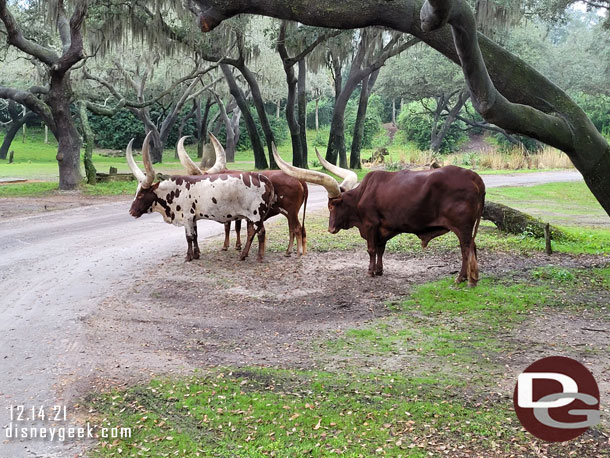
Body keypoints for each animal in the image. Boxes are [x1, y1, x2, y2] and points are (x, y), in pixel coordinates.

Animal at [127, 132, 274, 262]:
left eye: (141, 194)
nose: (131, 212)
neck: (174, 190)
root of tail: (263, 178)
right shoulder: (193, 218)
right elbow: (195, 235)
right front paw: (197, 254)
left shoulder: (187, 217)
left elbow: (189, 237)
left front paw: (188, 257)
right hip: (251, 217)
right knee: (252, 233)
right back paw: (243, 255)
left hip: (256, 216)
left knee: (260, 233)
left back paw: (259, 257)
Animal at [274, 147, 482, 284]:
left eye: (332, 206)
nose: (330, 229)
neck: (362, 195)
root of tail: (475, 178)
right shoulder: (383, 228)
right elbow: (381, 249)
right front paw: (380, 270)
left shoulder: (370, 226)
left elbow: (371, 249)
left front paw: (370, 271)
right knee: (472, 247)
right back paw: (472, 277)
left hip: (462, 227)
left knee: (466, 249)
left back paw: (461, 278)